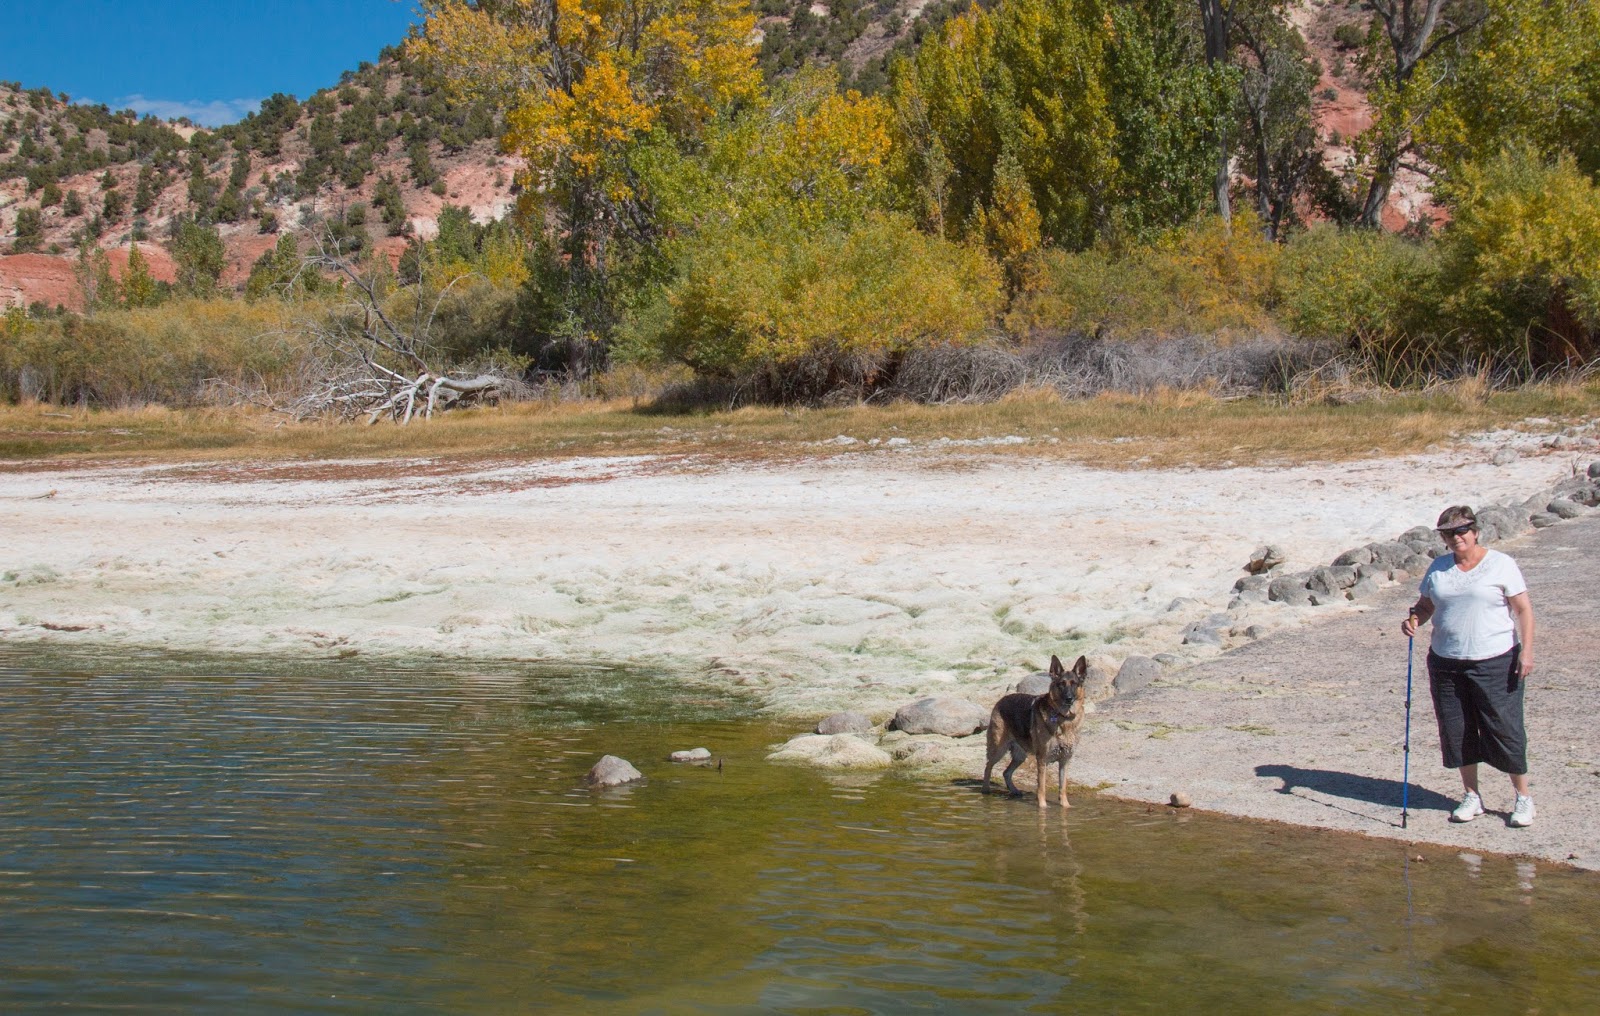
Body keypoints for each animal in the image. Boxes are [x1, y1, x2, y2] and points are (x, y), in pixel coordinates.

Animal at [983, 654, 1088, 809]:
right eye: (1061, 684)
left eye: (1074, 684)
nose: (1068, 698)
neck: (1064, 718)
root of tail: (1002, 699)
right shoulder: (1042, 760)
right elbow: (1041, 787)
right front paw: (1042, 808)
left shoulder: (1065, 761)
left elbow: (1062, 787)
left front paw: (1065, 807)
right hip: (998, 749)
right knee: (988, 766)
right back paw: (986, 791)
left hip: (1020, 756)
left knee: (1006, 772)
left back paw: (1014, 790)